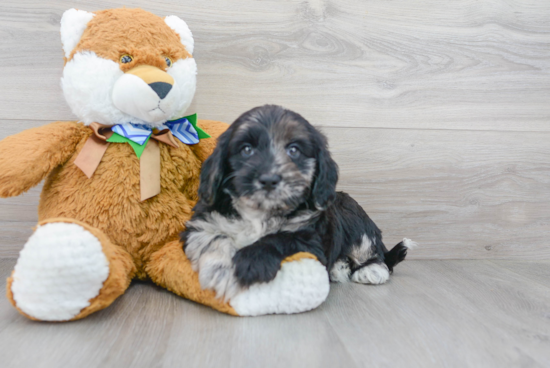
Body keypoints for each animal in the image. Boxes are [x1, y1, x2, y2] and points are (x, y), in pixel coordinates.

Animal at [183, 104, 416, 300]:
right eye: (247, 149)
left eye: (293, 150)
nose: (269, 179)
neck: (262, 211)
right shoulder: (202, 222)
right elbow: (213, 238)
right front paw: (221, 272)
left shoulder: (311, 239)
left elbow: (281, 238)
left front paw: (250, 261)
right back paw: (340, 267)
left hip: (356, 219)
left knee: (376, 253)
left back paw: (371, 270)